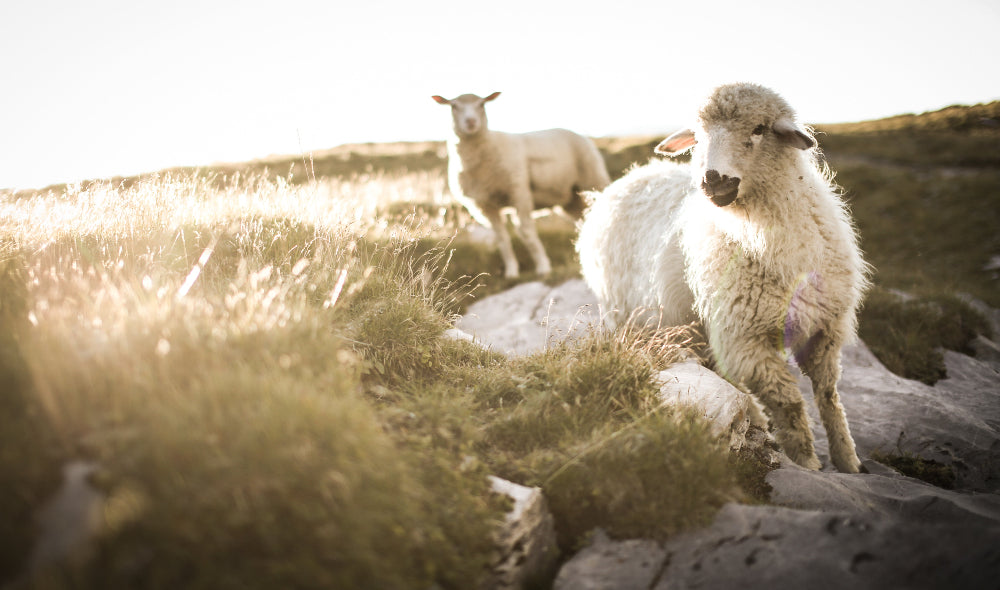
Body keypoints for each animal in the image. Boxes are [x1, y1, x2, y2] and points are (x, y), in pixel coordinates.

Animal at [432, 91, 608, 278]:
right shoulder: (485, 205)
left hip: (593, 179)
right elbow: (502, 238)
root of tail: (581, 136)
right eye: (454, 106)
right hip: (571, 200)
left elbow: (526, 232)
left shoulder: (519, 192)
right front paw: (511, 271)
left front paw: (543, 267)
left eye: (481, 104)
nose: (471, 121)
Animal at [576, 83, 872, 474]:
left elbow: (828, 395)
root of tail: (628, 177)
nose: (713, 179)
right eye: (698, 136)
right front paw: (808, 463)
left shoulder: (825, 327)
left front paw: (848, 460)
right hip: (632, 317)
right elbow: (790, 402)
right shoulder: (744, 339)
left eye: (759, 129)